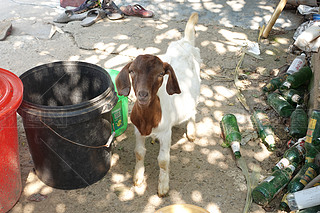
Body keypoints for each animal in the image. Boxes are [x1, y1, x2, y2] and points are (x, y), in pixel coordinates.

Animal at [114, 12, 200, 196]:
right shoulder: (138, 130)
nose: (143, 94)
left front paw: (163, 186)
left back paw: (191, 131)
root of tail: (185, 42)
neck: (148, 119)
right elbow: (139, 153)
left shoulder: (165, 133)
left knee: (193, 109)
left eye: (161, 74)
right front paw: (138, 178)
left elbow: (163, 160)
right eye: (132, 71)